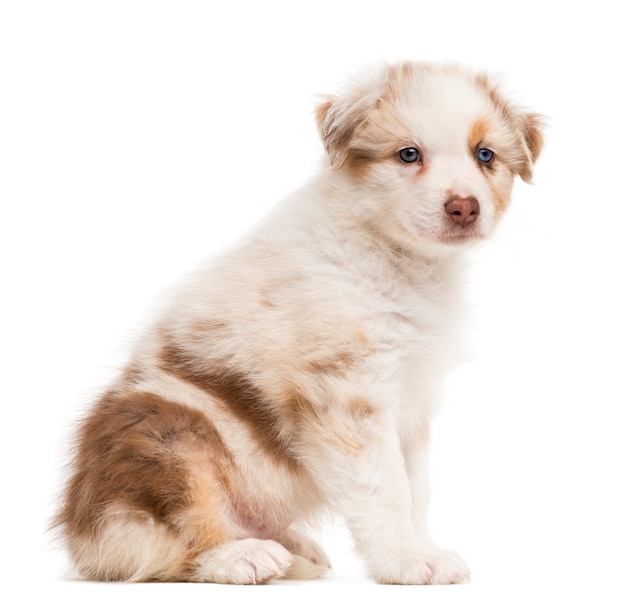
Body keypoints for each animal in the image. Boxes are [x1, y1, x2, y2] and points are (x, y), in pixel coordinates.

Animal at [54, 61, 540, 580]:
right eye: (408, 154)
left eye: (485, 155)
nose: (464, 206)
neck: (400, 260)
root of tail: (80, 536)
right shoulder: (348, 397)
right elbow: (386, 488)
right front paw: (407, 561)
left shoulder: (412, 399)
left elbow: (417, 488)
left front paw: (424, 549)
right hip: (171, 435)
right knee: (171, 541)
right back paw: (241, 556)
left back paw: (292, 549)